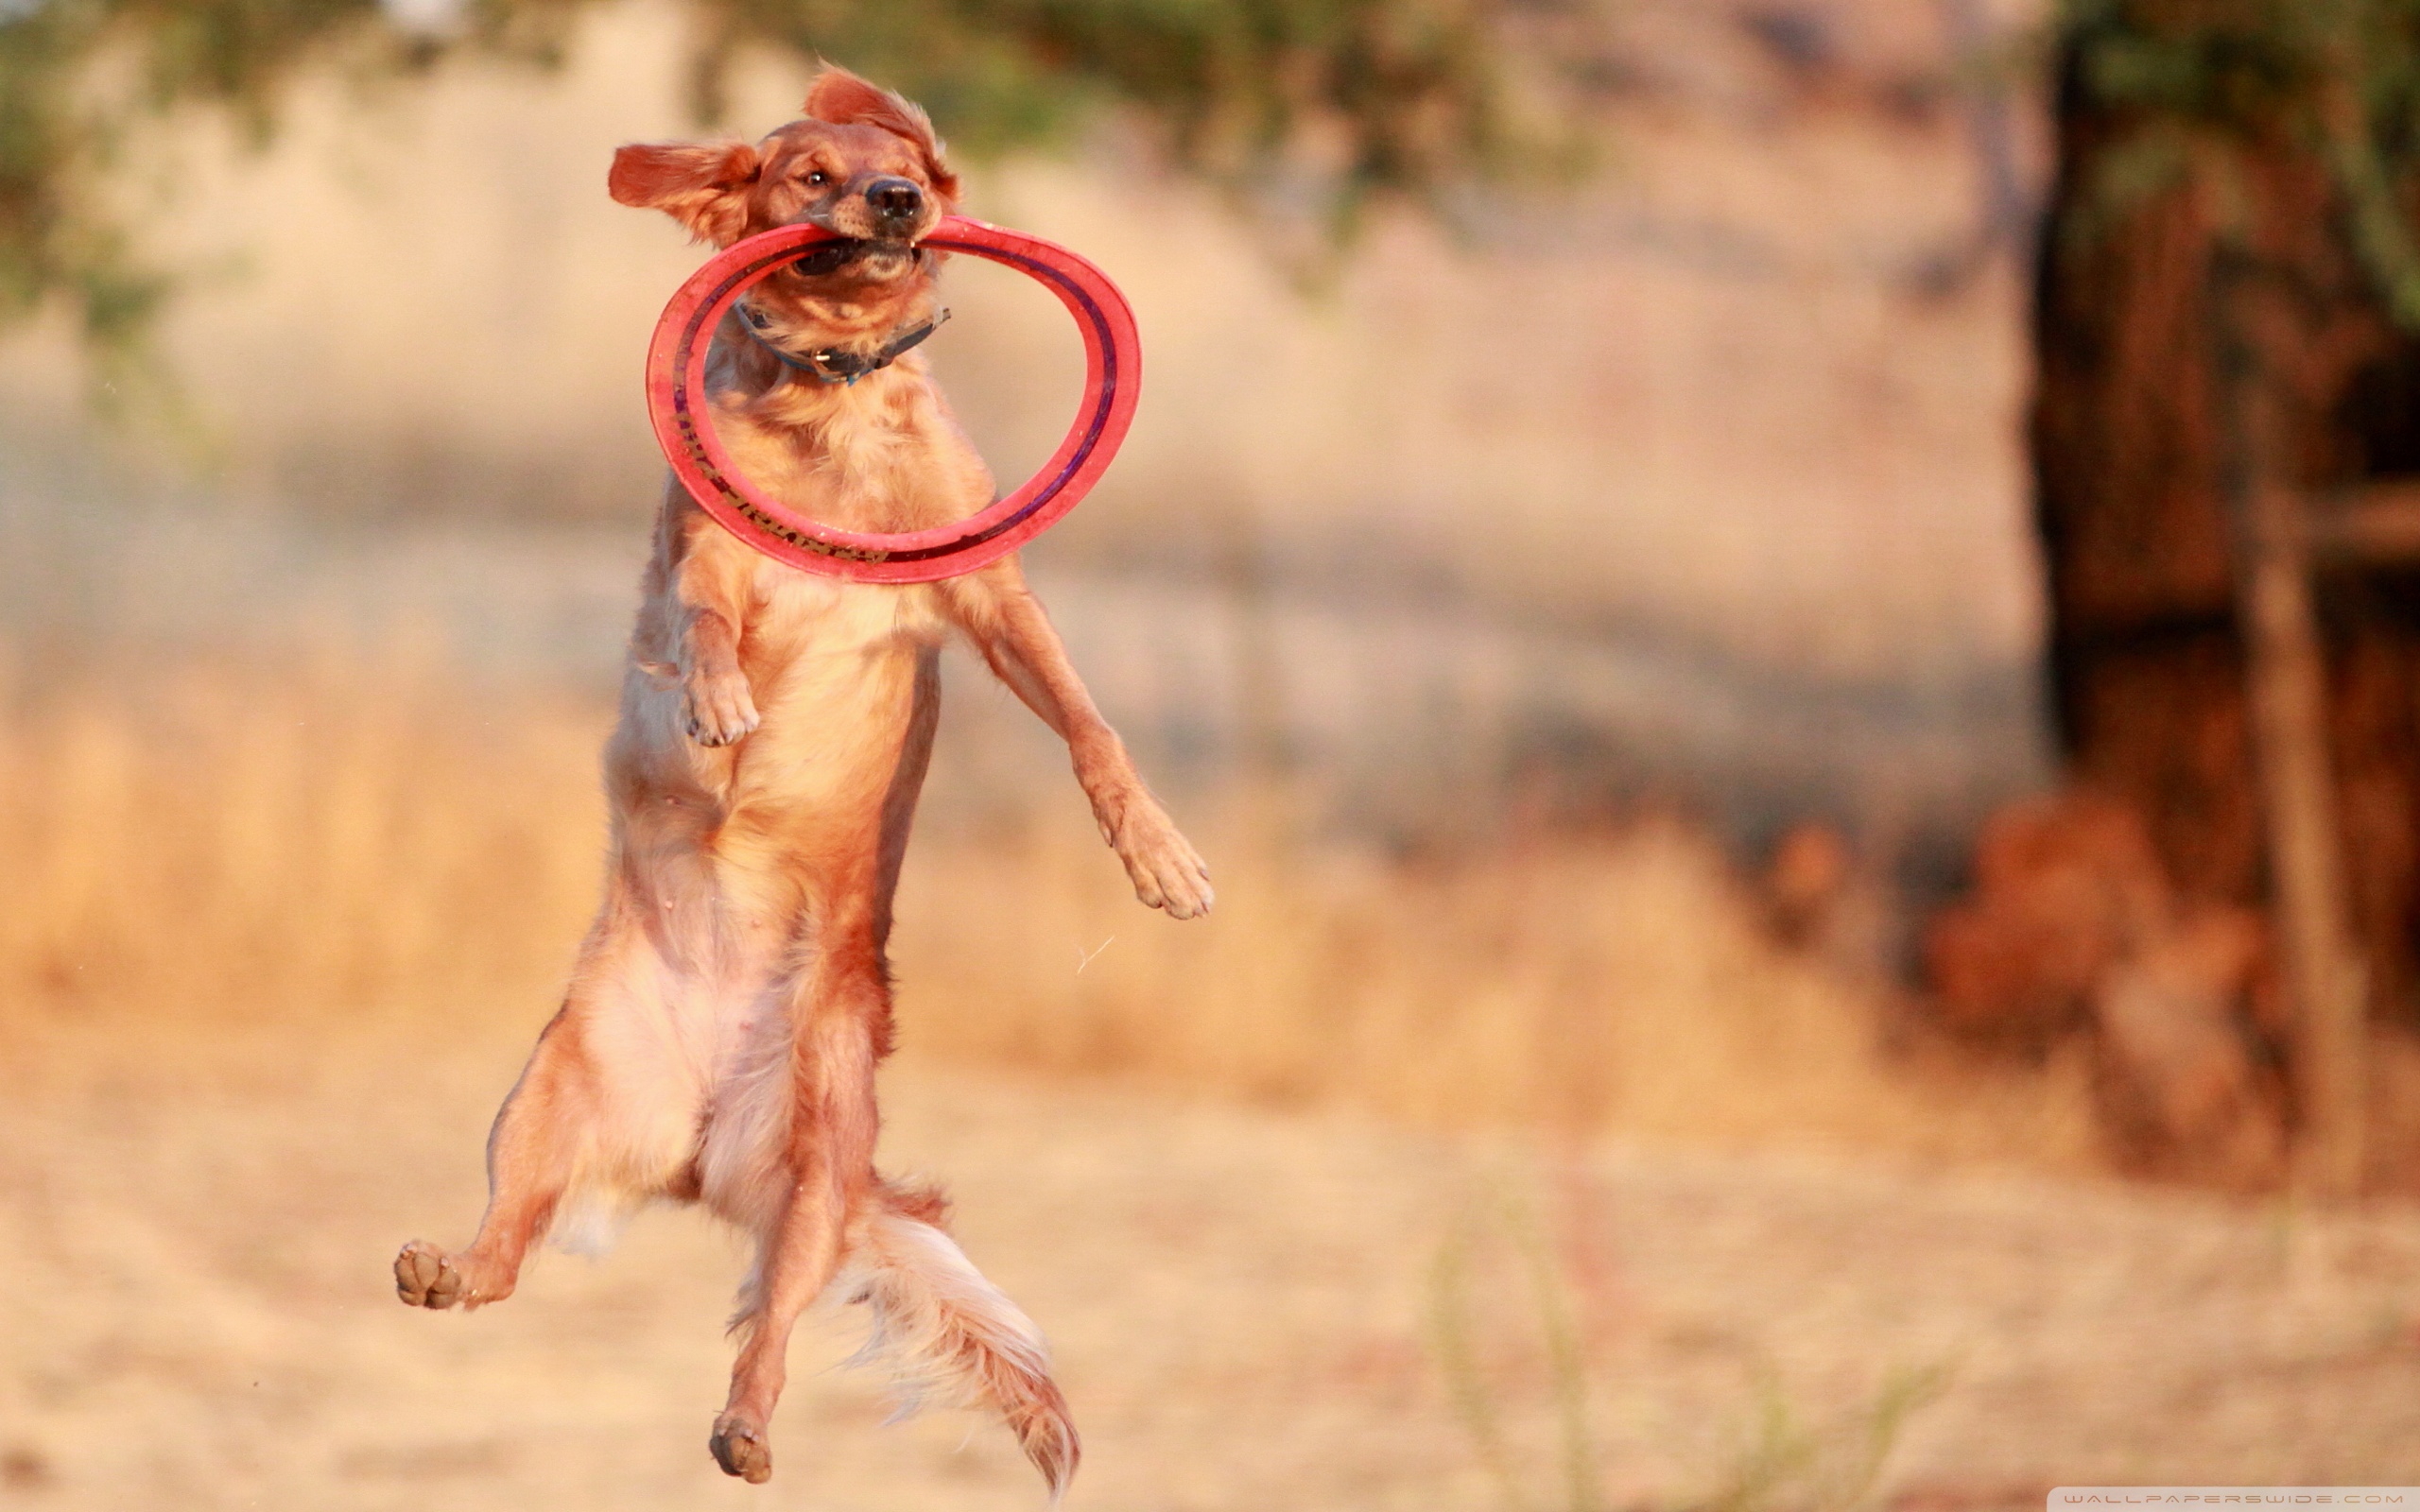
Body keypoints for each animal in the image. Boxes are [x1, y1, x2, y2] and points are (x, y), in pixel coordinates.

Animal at [391, 64, 1210, 1489]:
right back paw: (454, 1272)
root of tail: (697, 1144)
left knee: (771, 1319)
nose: (892, 199)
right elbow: (711, 618)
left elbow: (1088, 722)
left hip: (823, 1159)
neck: (831, 401)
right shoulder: (714, 551)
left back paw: (749, 1426)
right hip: (544, 1097)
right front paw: (719, 700)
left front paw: (1158, 854)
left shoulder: (989, 593)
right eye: (809, 175)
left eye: (903, 168)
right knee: (505, 1259)